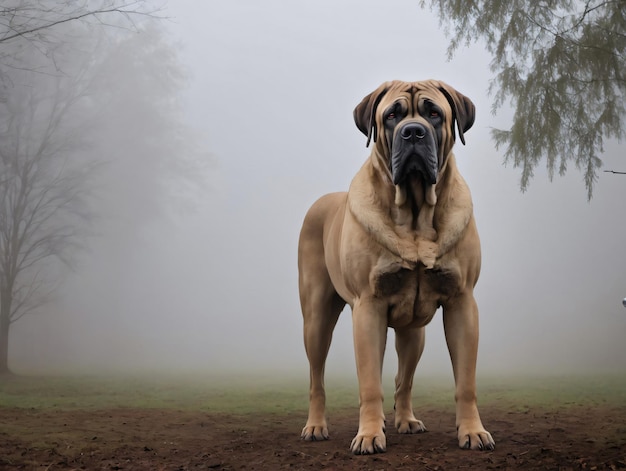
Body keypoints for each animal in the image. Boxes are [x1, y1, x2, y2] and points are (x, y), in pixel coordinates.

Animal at [296, 79, 492, 456]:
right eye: (391, 116)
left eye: (434, 113)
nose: (413, 132)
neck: (415, 213)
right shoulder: (368, 307)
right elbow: (370, 383)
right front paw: (369, 435)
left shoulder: (462, 302)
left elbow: (467, 382)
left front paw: (473, 431)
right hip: (316, 319)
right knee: (315, 377)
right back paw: (315, 426)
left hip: (414, 331)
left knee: (405, 377)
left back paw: (406, 420)